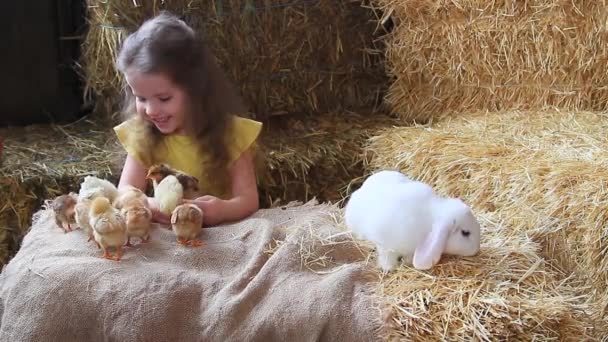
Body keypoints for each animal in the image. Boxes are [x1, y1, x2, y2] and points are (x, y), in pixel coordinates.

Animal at [346, 171, 480, 272]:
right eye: (465, 233)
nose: (476, 250)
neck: (428, 222)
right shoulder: (385, 244)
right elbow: (387, 257)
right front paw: (388, 268)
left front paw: (407, 262)